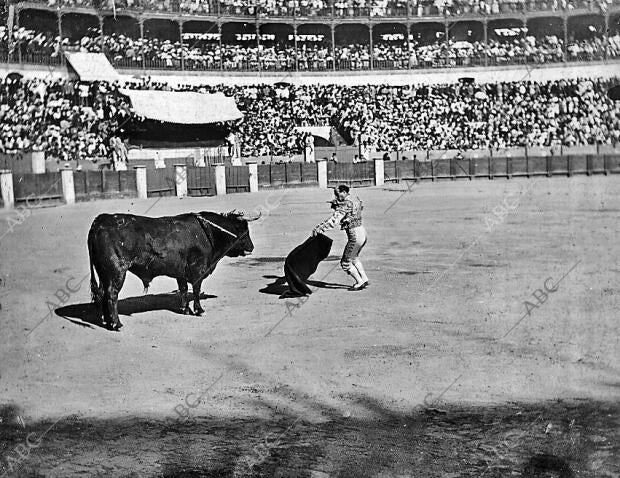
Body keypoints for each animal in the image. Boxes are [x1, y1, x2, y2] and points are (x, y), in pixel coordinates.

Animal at [87, 211, 256, 330]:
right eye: (244, 232)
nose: (252, 247)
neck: (208, 232)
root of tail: (99, 221)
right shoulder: (198, 269)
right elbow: (195, 290)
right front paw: (199, 310)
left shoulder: (180, 273)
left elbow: (183, 289)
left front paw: (185, 309)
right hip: (116, 271)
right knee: (111, 294)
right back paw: (116, 324)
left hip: (104, 273)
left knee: (103, 293)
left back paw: (107, 321)